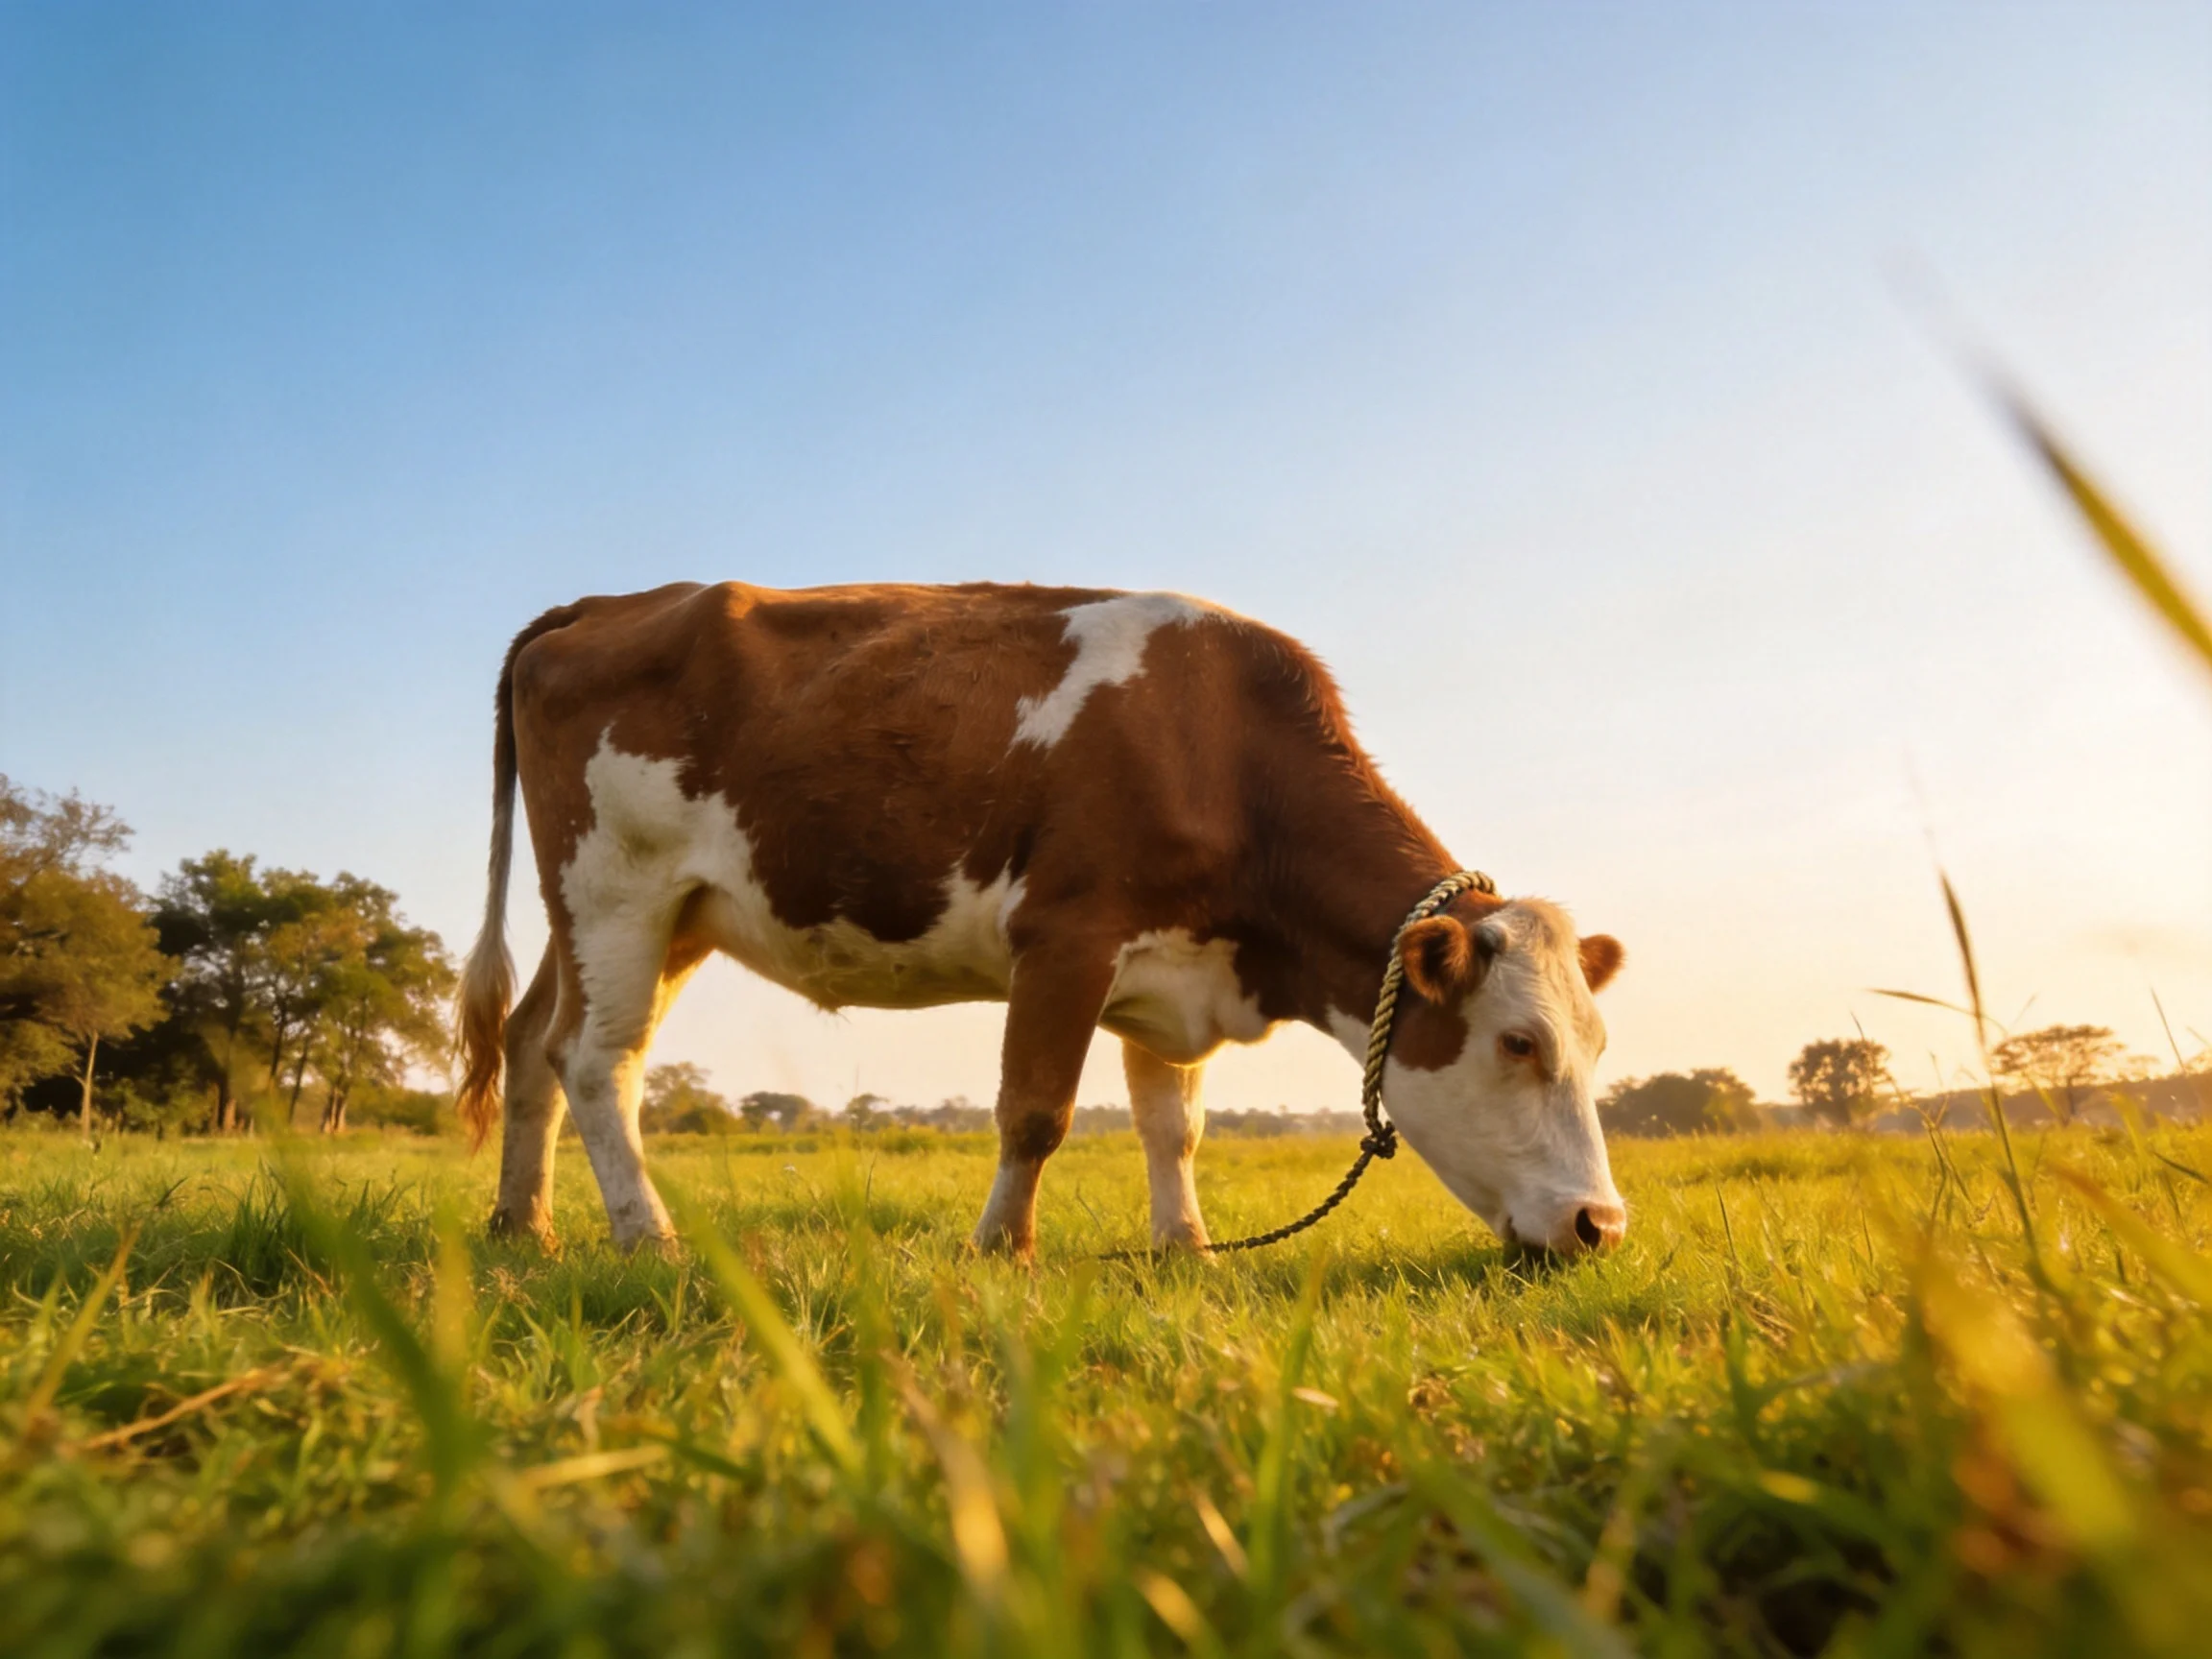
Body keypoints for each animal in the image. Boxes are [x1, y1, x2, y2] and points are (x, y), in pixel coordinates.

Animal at [454, 581, 1628, 1258]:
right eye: (1518, 1043)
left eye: (1598, 1044)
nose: (1601, 1224)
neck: (1217, 748)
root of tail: (598, 602)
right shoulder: (1065, 938)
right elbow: (1035, 1113)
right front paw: (1001, 1249)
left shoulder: (1173, 972)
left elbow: (1173, 1126)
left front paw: (1183, 1248)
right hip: (616, 890)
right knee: (595, 1059)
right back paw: (645, 1235)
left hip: (657, 916)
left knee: (531, 1039)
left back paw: (523, 1225)